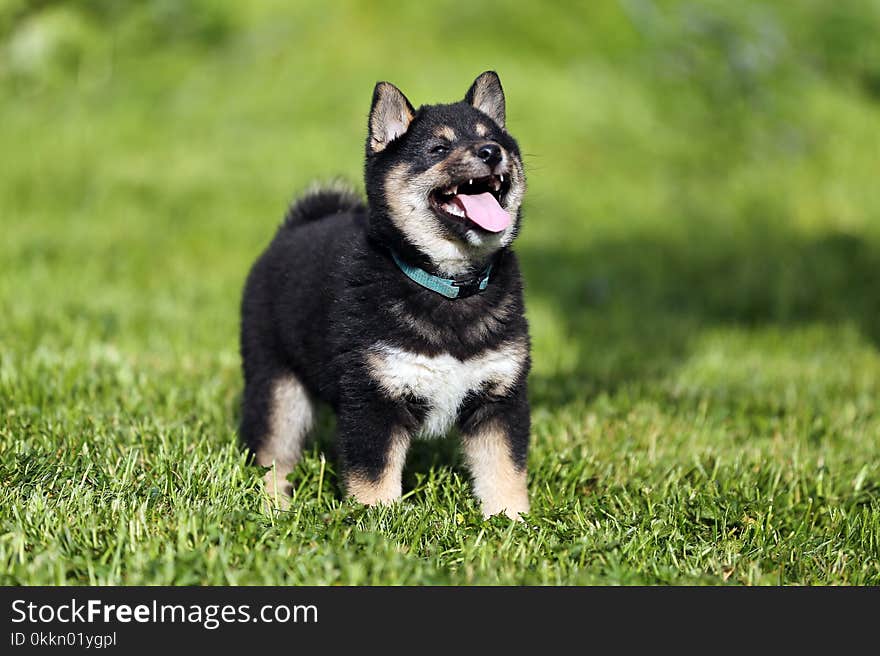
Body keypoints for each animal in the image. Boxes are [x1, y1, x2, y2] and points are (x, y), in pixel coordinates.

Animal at [239, 72, 528, 520]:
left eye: (492, 138)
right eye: (438, 148)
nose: (491, 152)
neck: (449, 288)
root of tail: (292, 230)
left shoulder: (500, 398)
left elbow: (504, 470)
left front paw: (513, 522)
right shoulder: (373, 397)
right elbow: (374, 476)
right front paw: (378, 523)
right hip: (277, 385)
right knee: (272, 453)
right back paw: (273, 508)